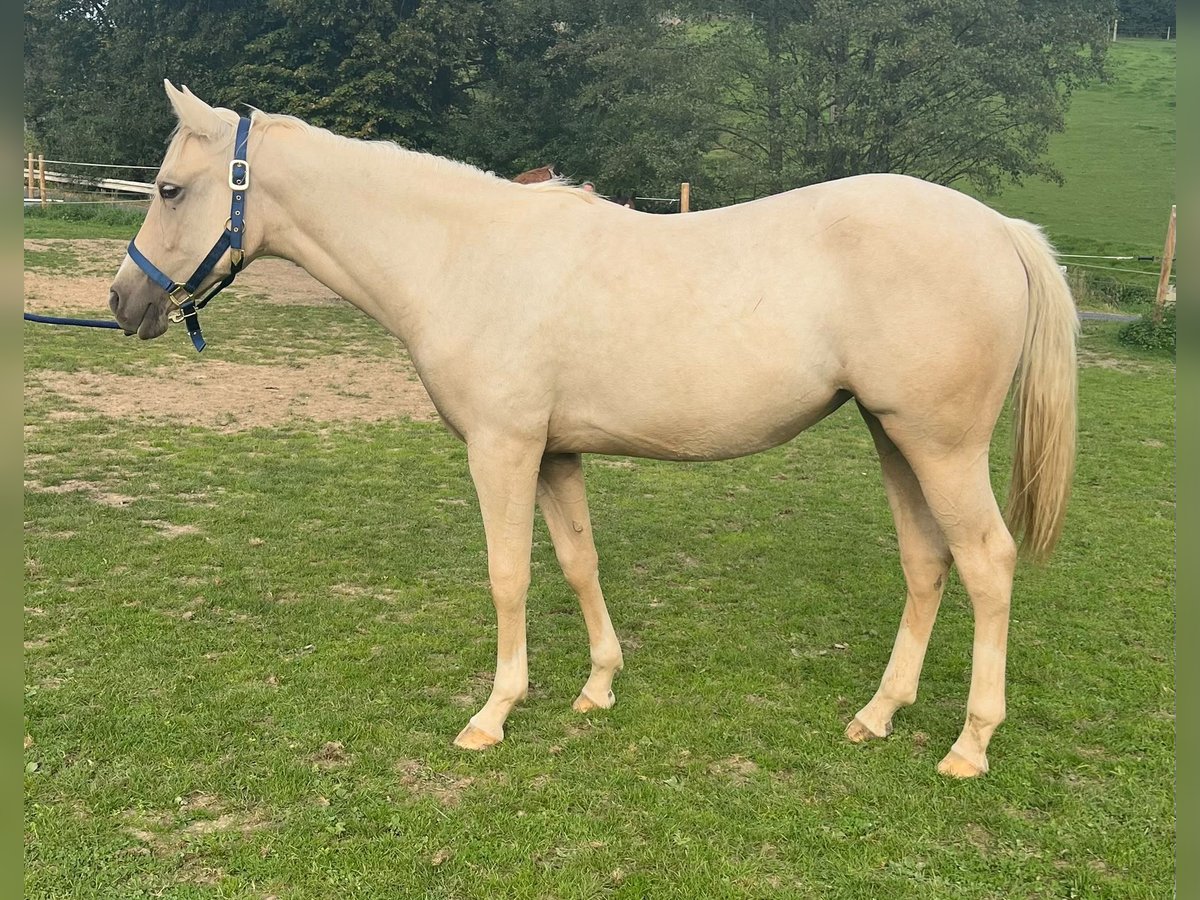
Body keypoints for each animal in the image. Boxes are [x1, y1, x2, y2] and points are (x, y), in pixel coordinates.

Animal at [109, 81, 1077, 778]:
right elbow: (579, 561)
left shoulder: (501, 449)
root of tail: (999, 228)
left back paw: (969, 745)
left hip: (941, 446)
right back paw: (877, 715)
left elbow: (508, 576)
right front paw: (598, 688)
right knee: (927, 562)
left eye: (170, 188)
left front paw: (492, 715)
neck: (462, 254)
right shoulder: (556, 454)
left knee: (986, 562)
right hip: (894, 436)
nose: (124, 302)